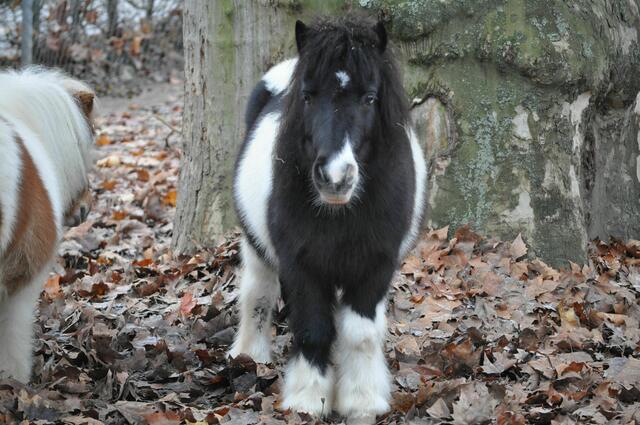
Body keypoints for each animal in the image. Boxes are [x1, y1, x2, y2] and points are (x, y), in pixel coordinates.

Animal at [230, 16, 427, 421]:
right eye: (307, 96)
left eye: (370, 98)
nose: (335, 177)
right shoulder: (301, 265)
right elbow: (313, 330)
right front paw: (308, 400)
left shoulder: (375, 267)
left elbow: (360, 333)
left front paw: (361, 400)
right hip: (258, 250)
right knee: (257, 293)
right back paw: (249, 355)